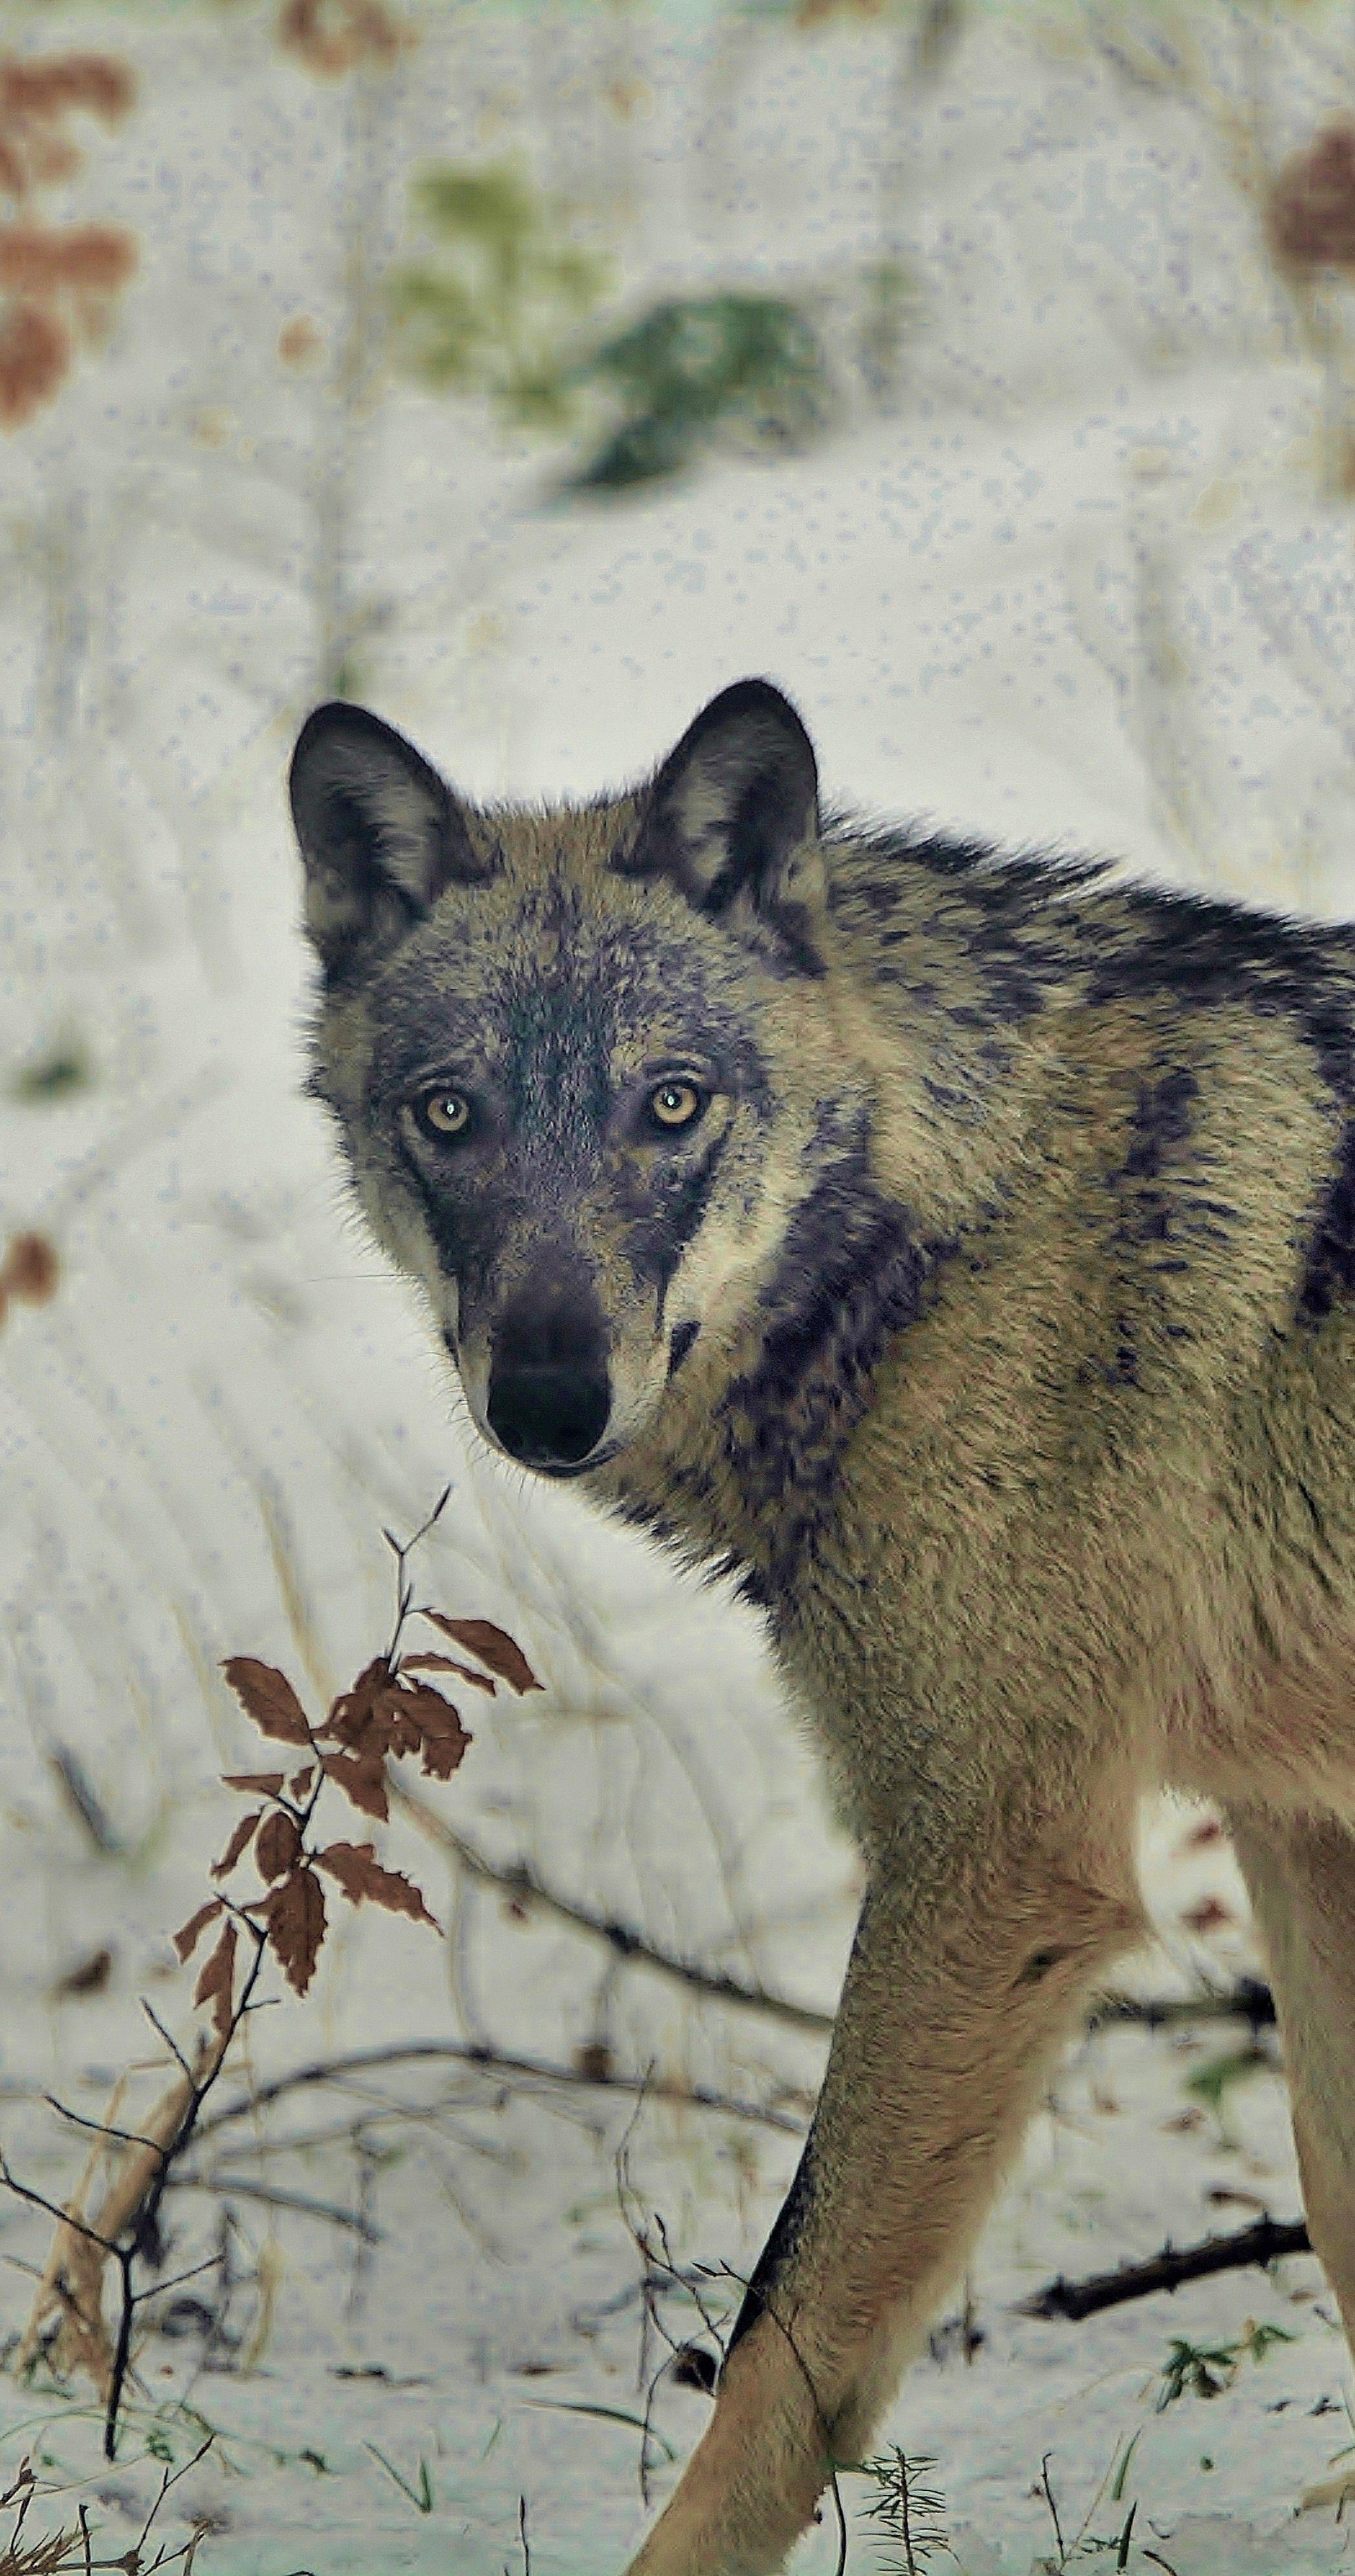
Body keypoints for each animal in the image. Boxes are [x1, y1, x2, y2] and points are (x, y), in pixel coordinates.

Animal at [290, 675, 1355, 2574]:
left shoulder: (989, 1866)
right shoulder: (1291, 1814)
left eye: (671, 1105)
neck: (955, 1234)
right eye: (449, 1115)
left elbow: (785, 2340)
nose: (548, 1396)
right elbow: (1340, 2194)